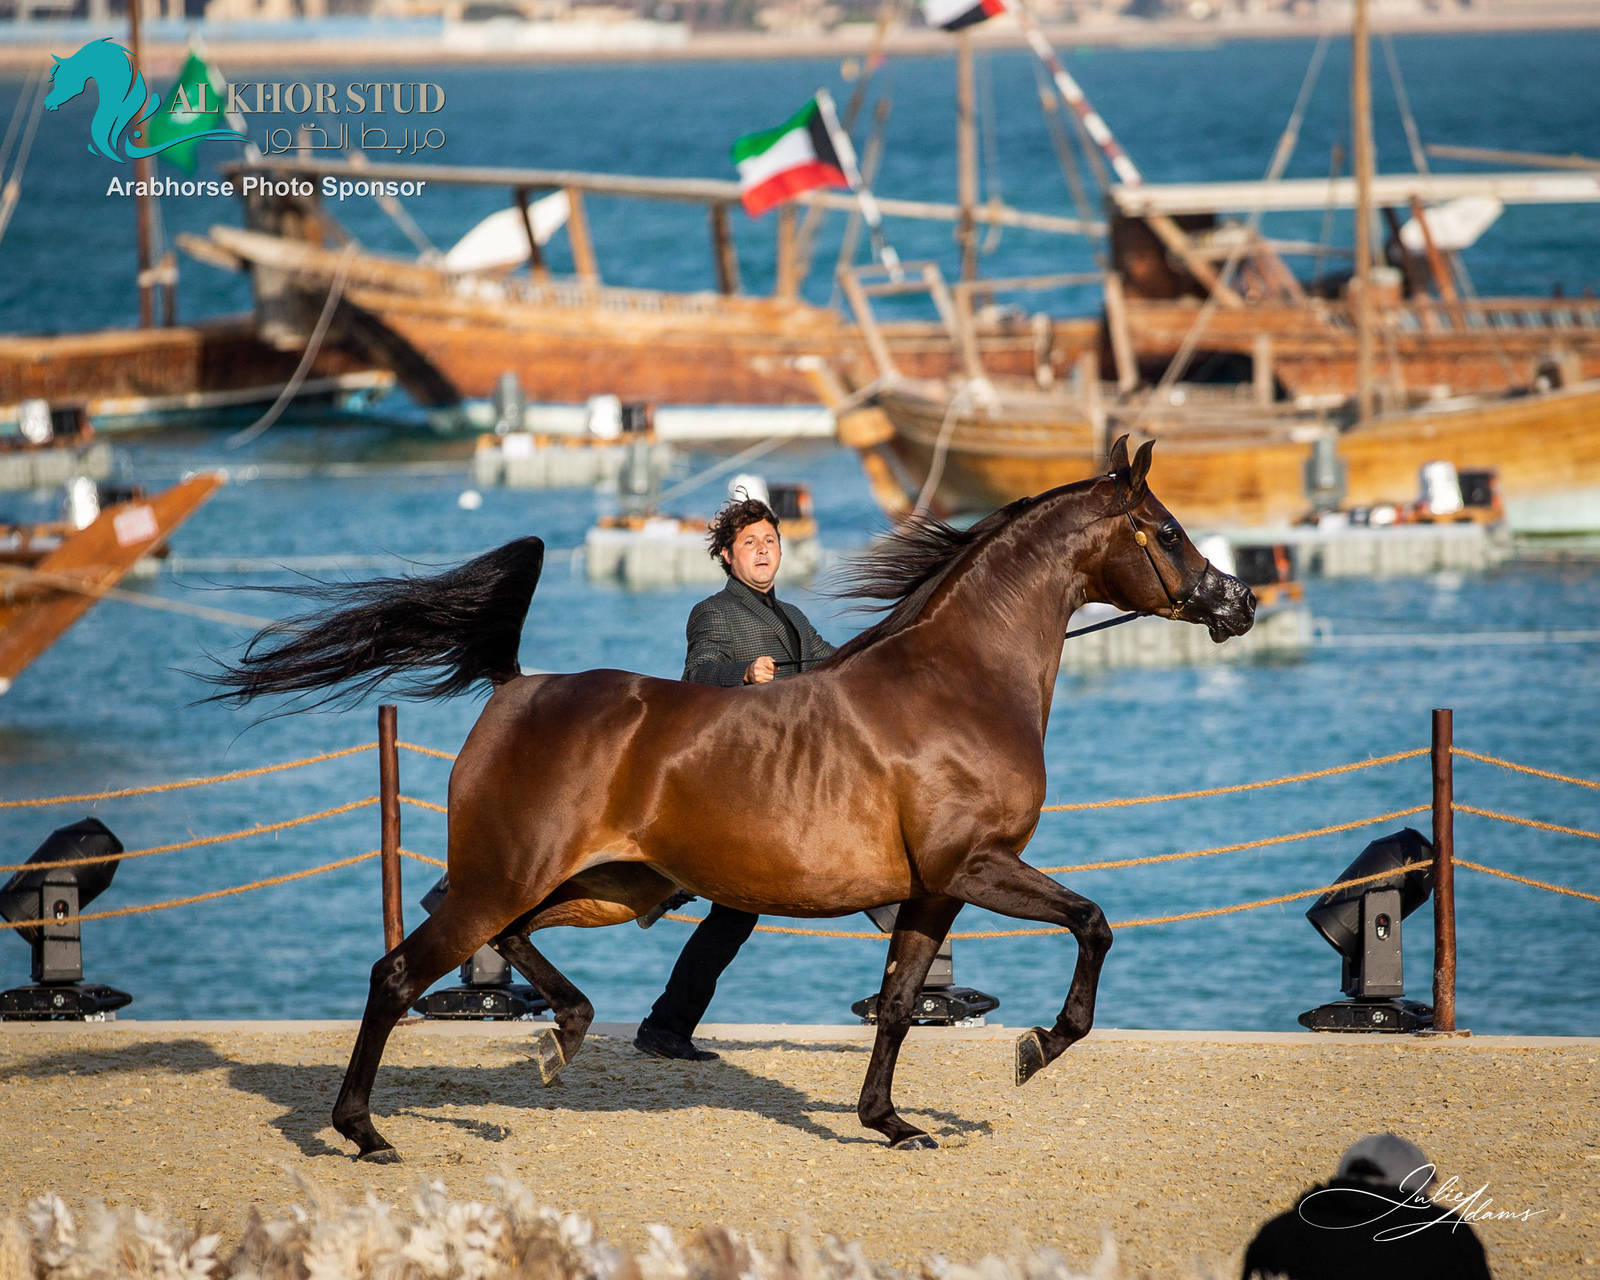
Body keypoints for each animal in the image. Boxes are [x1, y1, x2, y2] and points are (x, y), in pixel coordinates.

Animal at [206, 437, 1255, 1161]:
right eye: (1166, 531)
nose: (1237, 602)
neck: (959, 681)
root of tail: (515, 687)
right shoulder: (978, 867)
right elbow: (1092, 923)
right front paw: (1040, 1046)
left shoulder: (932, 891)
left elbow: (899, 1003)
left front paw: (890, 1122)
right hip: (508, 879)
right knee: (399, 972)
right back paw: (365, 1131)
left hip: (601, 887)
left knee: (506, 947)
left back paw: (563, 1038)